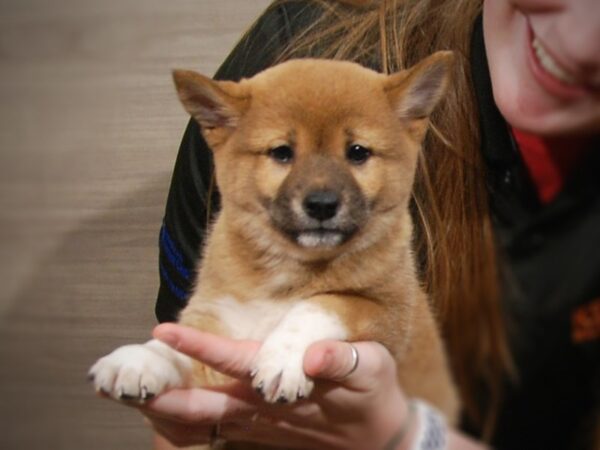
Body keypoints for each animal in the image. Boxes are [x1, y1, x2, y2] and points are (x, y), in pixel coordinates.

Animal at [90, 51, 460, 444]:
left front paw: (283, 357)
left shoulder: (389, 315)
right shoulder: (214, 318)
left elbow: (322, 304)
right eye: (282, 152)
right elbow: (175, 343)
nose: (322, 205)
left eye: (358, 152)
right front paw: (139, 360)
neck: (286, 268)